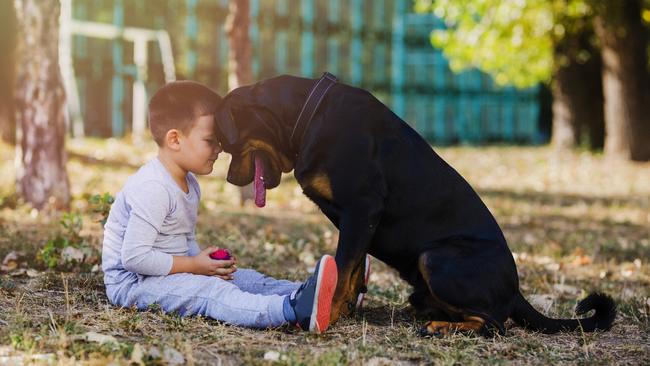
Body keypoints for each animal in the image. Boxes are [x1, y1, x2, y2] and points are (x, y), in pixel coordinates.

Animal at [213, 73, 612, 336]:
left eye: (227, 144)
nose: (229, 179)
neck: (306, 117)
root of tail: (516, 290)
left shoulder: (362, 209)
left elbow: (343, 267)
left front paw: (327, 311)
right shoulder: (357, 221)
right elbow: (352, 269)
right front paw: (344, 308)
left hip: (435, 258)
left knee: (495, 324)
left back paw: (440, 326)